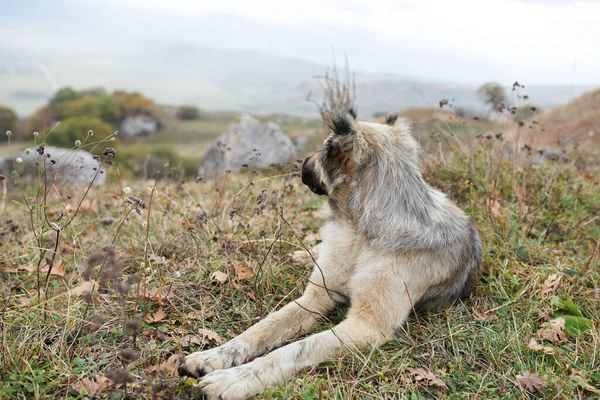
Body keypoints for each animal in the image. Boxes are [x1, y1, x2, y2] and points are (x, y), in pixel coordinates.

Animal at [178, 108, 482, 398]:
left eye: (324, 147)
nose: (302, 163)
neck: (360, 231)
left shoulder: (366, 326)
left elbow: (294, 349)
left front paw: (234, 379)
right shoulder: (315, 297)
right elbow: (260, 329)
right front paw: (212, 356)